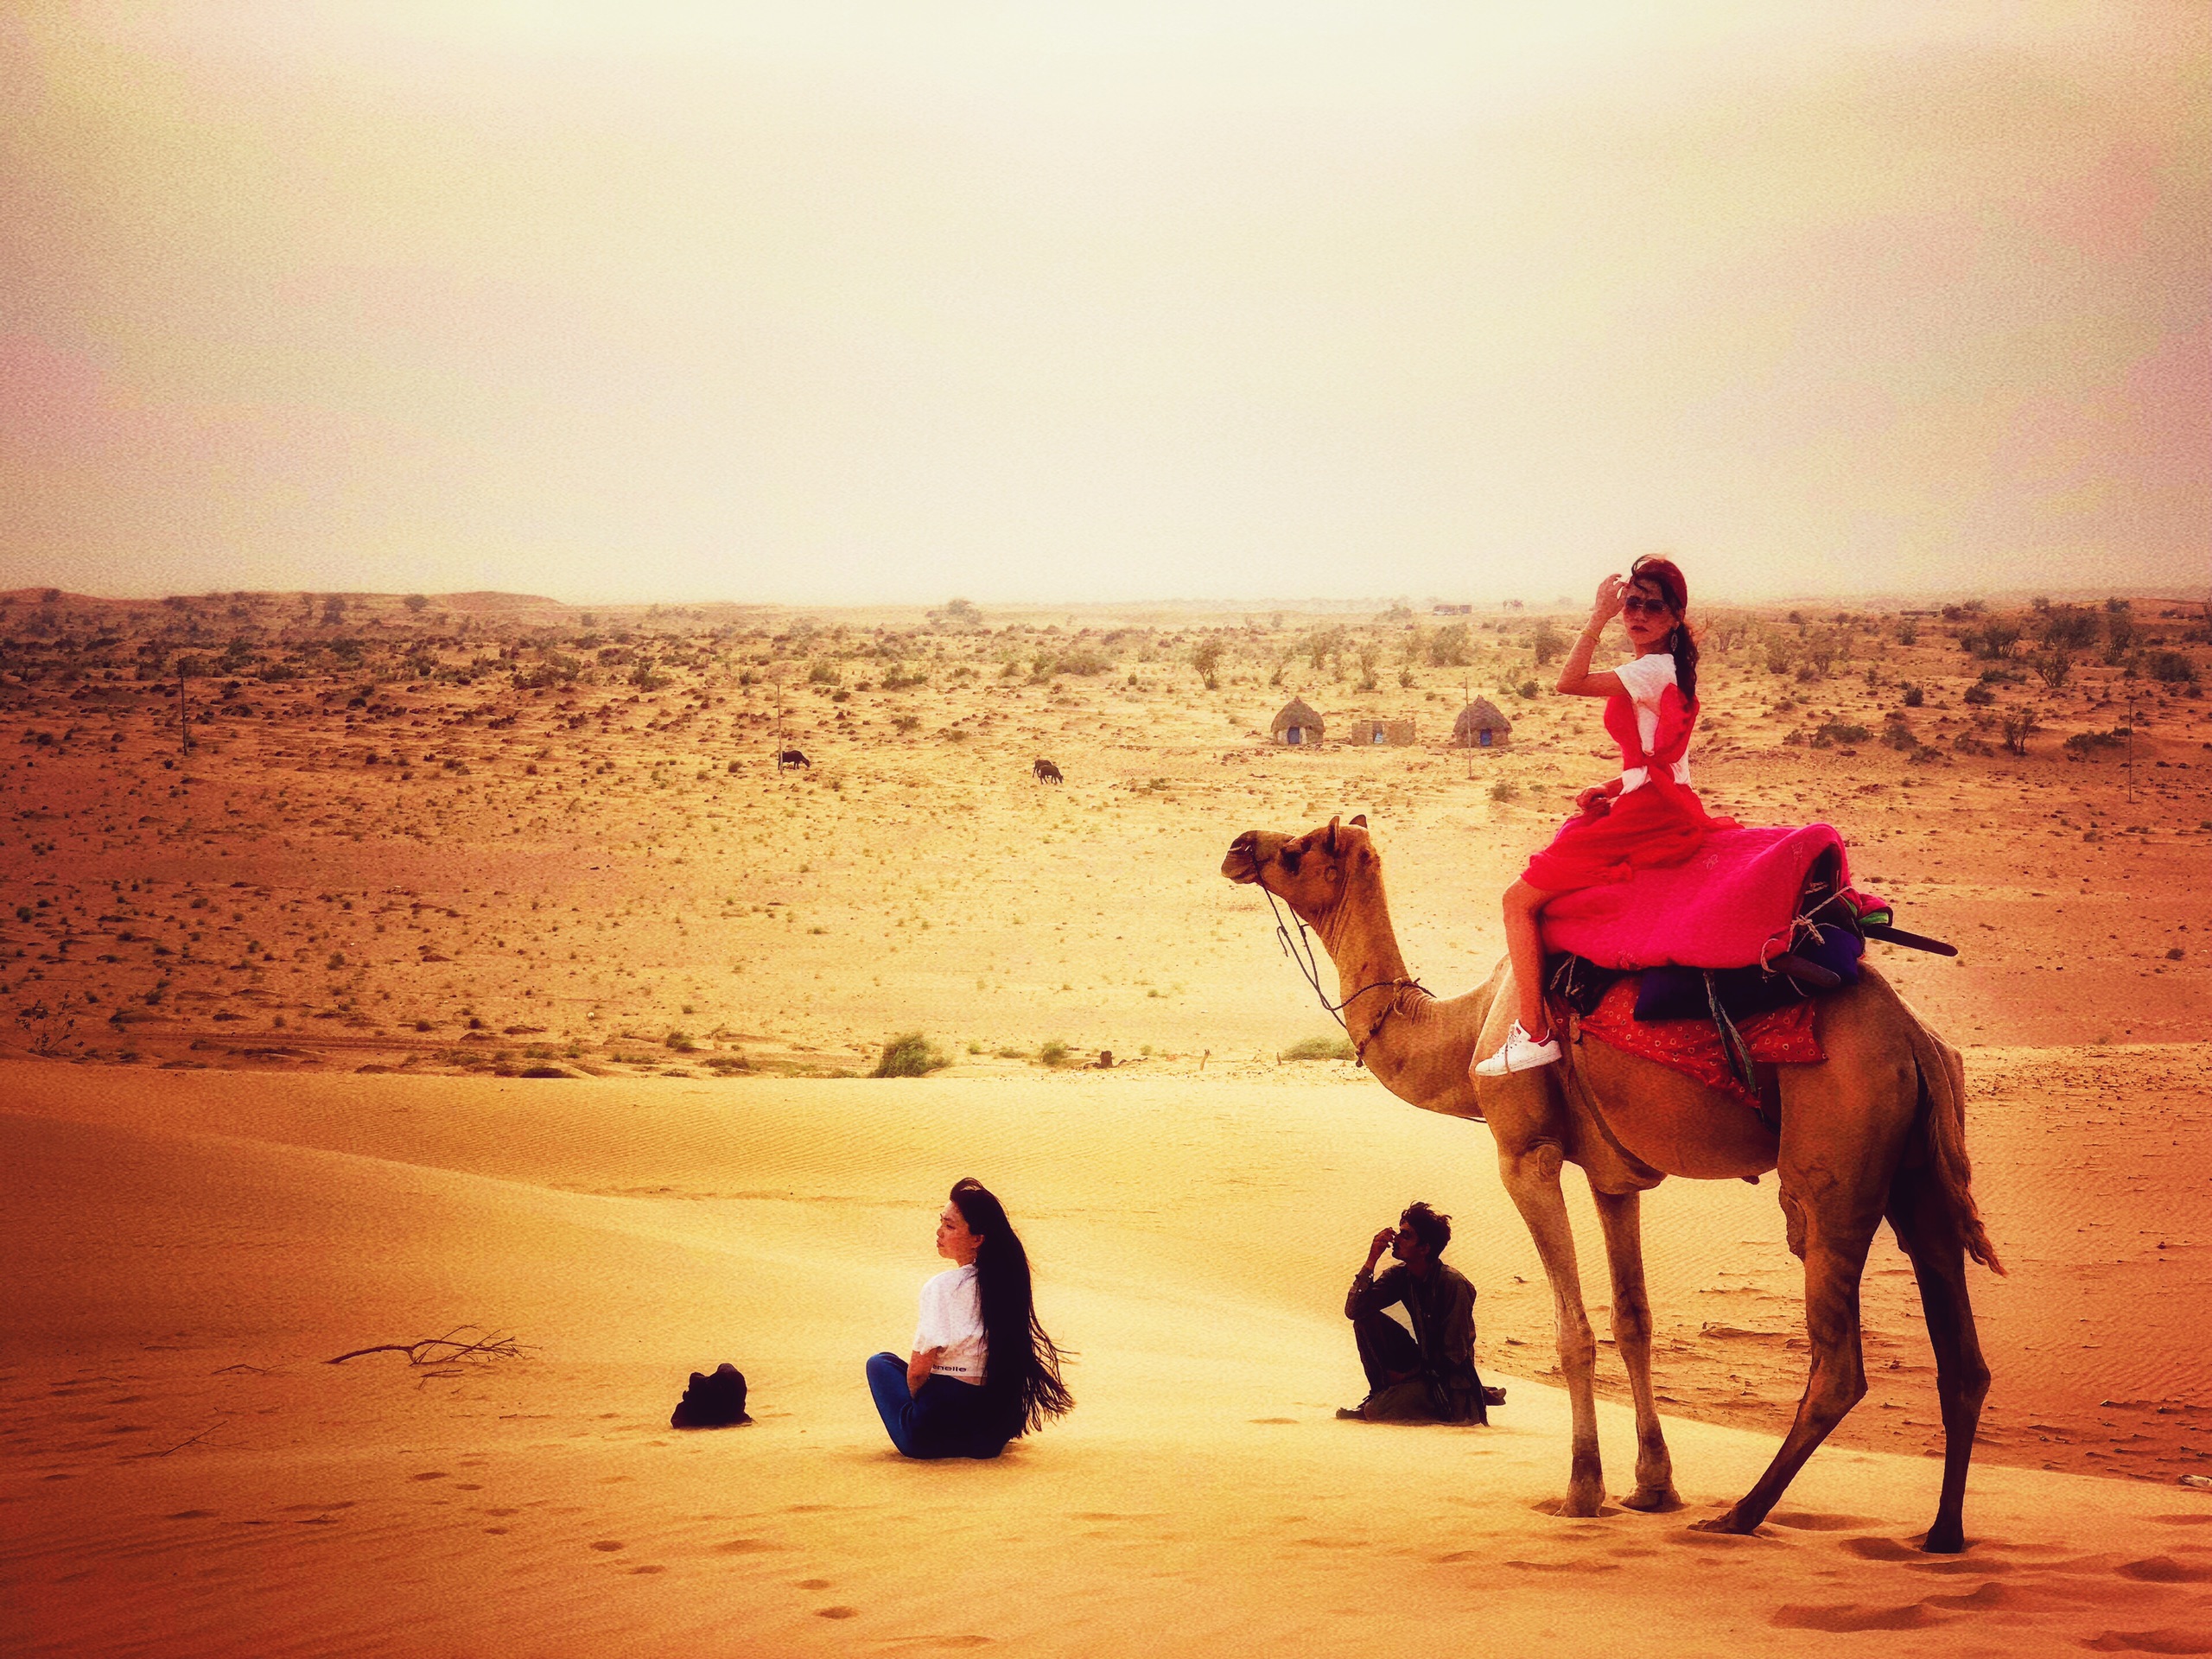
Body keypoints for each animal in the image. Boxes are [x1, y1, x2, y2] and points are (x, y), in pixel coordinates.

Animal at [1230, 818, 2008, 1557]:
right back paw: (1941, 1534)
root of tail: (1914, 1040)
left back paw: (1740, 1516)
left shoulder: (1525, 1154)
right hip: (1918, 1175)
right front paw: (1653, 1487)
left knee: (1841, 1361)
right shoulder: (1613, 1177)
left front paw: (1583, 1491)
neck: (1466, 1029)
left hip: (1834, 1166)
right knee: (1962, 1356)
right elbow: (1634, 1320)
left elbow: (1573, 1329)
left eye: (1299, 849)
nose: (1239, 847)